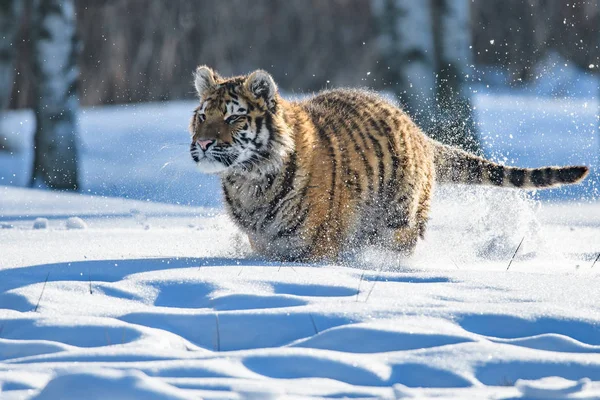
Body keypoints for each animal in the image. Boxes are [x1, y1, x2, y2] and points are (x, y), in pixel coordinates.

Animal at [189, 67, 592, 260]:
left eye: (233, 118)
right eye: (202, 115)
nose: (204, 143)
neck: (248, 180)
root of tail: (419, 132)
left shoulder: (318, 246)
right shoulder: (264, 243)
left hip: (399, 221)